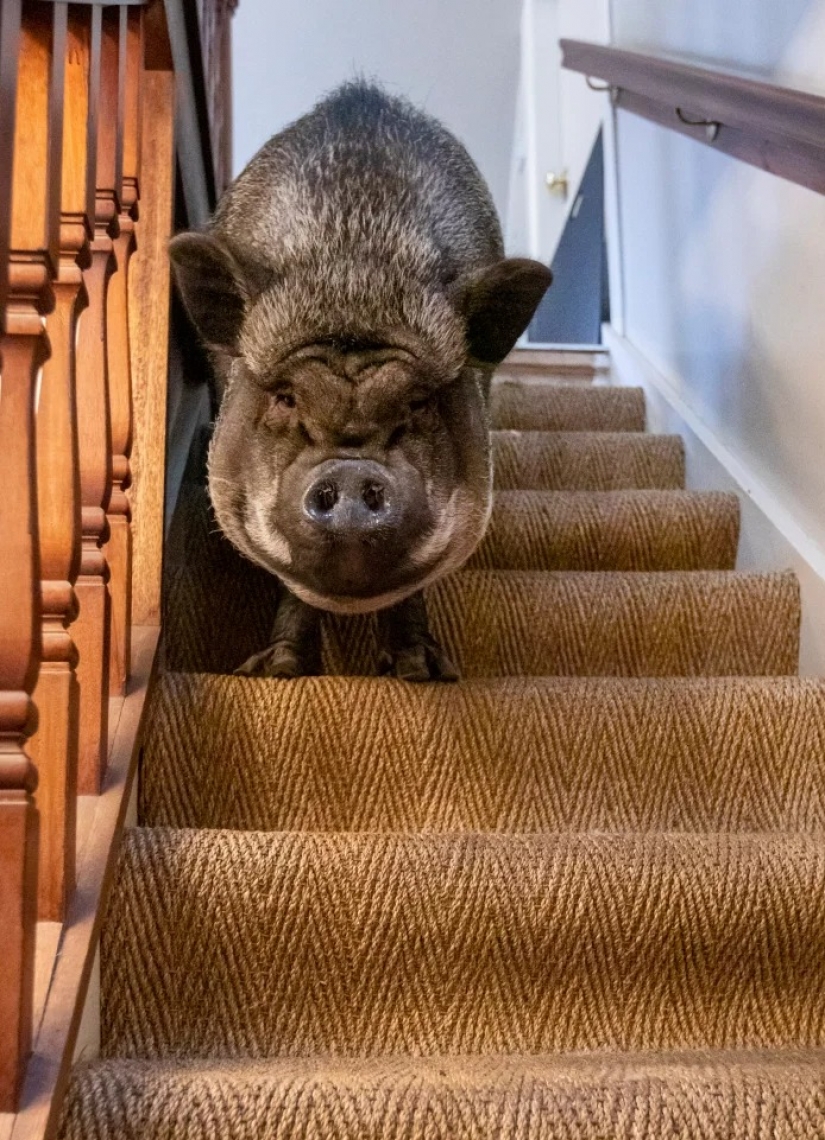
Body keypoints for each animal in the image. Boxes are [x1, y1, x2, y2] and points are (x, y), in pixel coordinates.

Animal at [169, 81, 551, 680]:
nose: (350, 471)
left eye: (418, 402)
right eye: (286, 397)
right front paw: (276, 672)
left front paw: (424, 673)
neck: (354, 284)